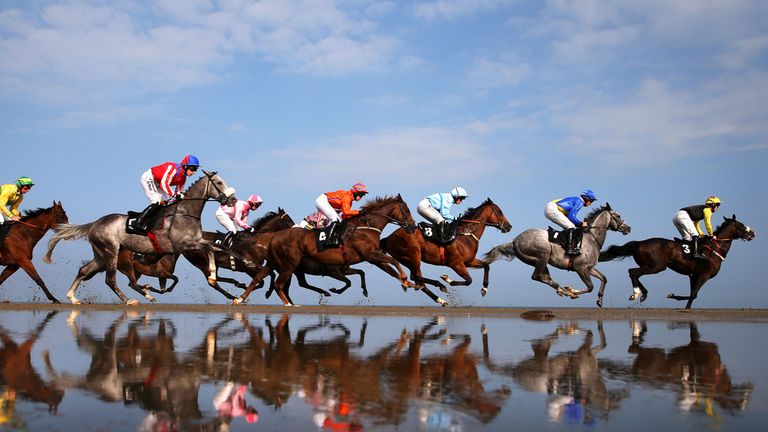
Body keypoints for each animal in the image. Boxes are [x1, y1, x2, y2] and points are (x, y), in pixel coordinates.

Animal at [43, 170, 231, 306]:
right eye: (219, 182)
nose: (232, 199)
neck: (184, 213)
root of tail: (94, 223)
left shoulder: (193, 243)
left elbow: (213, 247)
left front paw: (213, 273)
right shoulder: (184, 245)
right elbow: (209, 248)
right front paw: (213, 274)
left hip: (101, 255)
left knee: (84, 270)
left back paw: (72, 297)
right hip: (111, 252)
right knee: (110, 280)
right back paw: (129, 300)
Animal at [234, 194, 416, 306]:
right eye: (407, 209)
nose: (413, 227)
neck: (365, 227)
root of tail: (274, 236)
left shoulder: (370, 258)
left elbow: (389, 270)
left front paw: (409, 284)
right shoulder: (369, 256)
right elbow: (394, 261)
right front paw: (406, 280)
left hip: (276, 263)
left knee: (259, 278)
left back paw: (239, 299)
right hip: (288, 266)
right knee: (280, 285)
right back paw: (289, 304)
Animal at [378, 197, 510, 298]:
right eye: (499, 211)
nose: (509, 226)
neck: (466, 234)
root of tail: (388, 238)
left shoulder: (468, 261)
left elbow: (486, 266)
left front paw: (484, 289)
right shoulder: (456, 264)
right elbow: (469, 281)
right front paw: (447, 279)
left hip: (408, 259)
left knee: (416, 278)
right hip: (412, 255)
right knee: (417, 277)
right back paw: (440, 286)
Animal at [486, 203, 632, 308]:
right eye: (618, 216)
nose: (628, 228)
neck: (591, 239)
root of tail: (515, 240)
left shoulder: (589, 268)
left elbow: (604, 278)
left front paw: (600, 299)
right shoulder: (580, 268)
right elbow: (590, 287)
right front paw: (572, 292)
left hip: (538, 261)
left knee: (543, 277)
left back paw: (561, 290)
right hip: (543, 255)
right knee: (536, 276)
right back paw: (564, 290)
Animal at [596, 214, 752, 308]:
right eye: (741, 225)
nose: (752, 233)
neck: (713, 249)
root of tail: (639, 243)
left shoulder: (693, 275)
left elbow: (693, 294)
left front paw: (679, 301)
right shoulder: (704, 275)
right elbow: (694, 295)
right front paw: (677, 299)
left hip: (651, 265)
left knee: (634, 272)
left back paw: (643, 294)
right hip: (657, 266)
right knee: (633, 272)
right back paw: (636, 294)